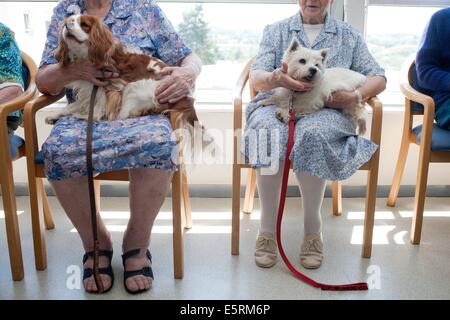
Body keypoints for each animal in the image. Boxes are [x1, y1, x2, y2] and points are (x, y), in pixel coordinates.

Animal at [45, 14, 199, 127]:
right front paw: (55, 115)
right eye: (69, 21)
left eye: (84, 25)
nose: (67, 23)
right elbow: (74, 105)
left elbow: (100, 108)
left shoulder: (113, 88)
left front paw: (91, 116)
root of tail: (186, 101)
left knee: (122, 115)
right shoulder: (89, 91)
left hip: (136, 87)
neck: (86, 56)